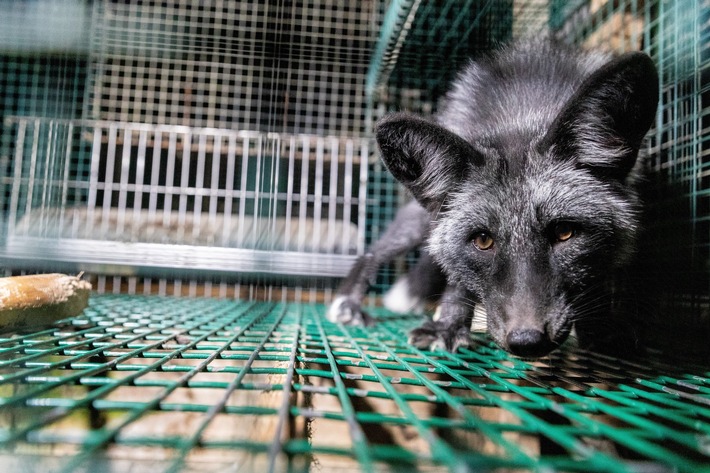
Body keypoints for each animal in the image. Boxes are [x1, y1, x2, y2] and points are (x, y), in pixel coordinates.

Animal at [328, 41, 660, 358]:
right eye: (483, 240)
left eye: (565, 232)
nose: (527, 341)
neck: (523, 115)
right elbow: (457, 284)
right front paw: (448, 325)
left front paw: (599, 328)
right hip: (419, 223)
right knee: (373, 252)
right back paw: (347, 302)